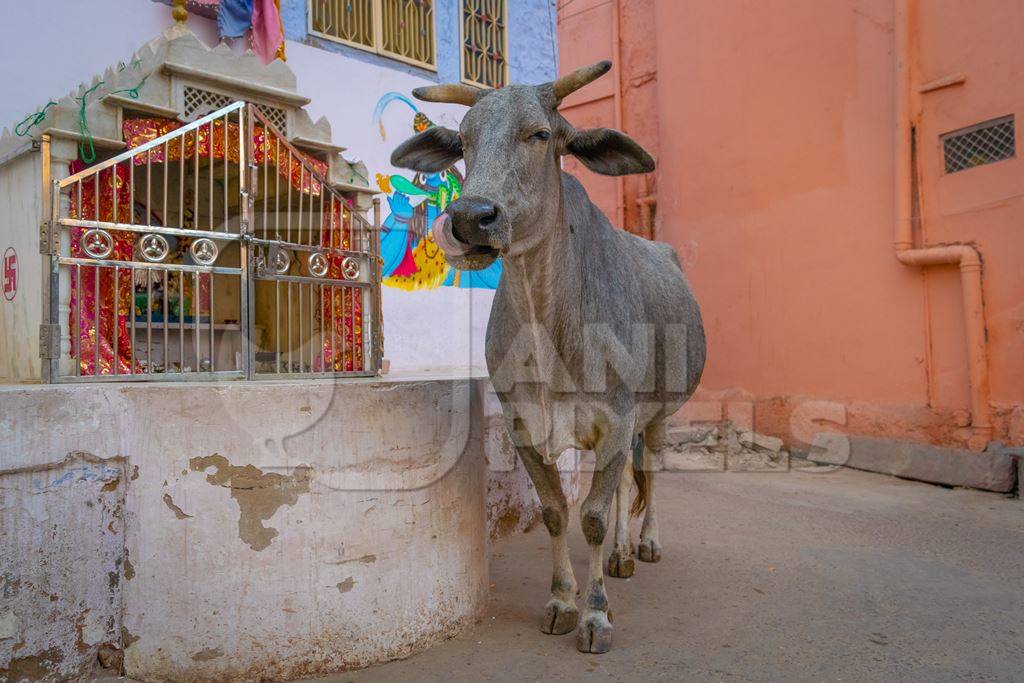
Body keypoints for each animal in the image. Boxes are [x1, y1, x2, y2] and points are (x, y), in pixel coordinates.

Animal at [387, 61, 708, 655]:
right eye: (464, 140)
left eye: (539, 134)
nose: (470, 218)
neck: (548, 328)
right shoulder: (525, 427)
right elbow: (558, 511)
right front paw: (563, 601)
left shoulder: (617, 417)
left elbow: (594, 516)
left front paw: (596, 614)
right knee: (625, 480)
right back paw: (622, 556)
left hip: (657, 415)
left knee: (649, 470)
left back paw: (645, 545)